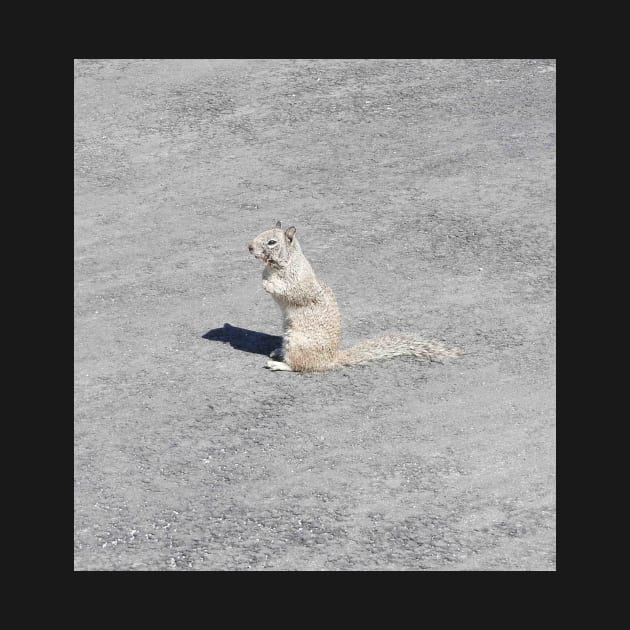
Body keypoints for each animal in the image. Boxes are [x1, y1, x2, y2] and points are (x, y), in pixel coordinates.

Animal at [248, 222, 464, 372]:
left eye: (272, 242)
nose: (249, 247)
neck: (284, 263)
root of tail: (331, 359)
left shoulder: (299, 283)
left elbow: (291, 292)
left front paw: (269, 284)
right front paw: (264, 278)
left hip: (298, 342)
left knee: (301, 366)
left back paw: (279, 364)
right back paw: (278, 352)